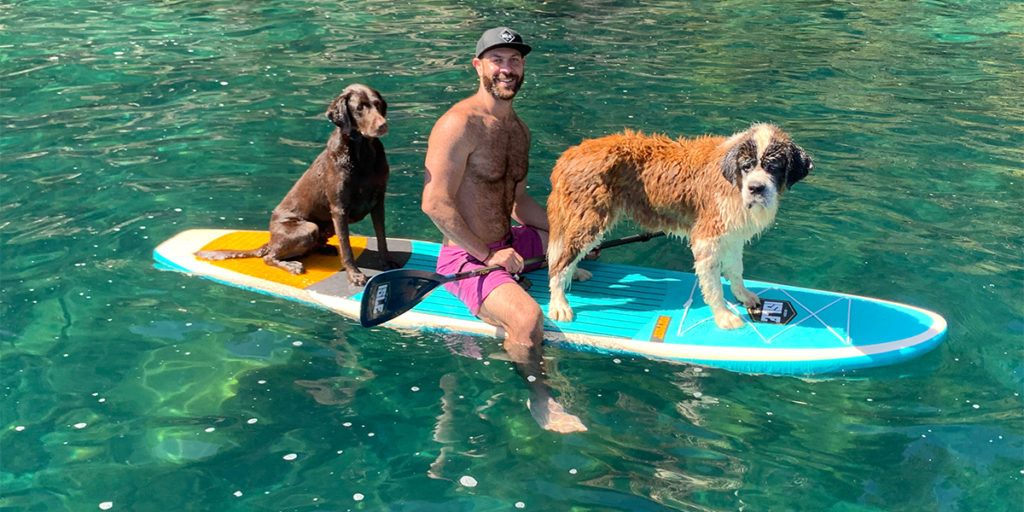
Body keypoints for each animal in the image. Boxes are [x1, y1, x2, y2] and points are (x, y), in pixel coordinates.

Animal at [195, 83, 395, 284]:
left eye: (378, 105)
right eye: (359, 108)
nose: (383, 125)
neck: (364, 155)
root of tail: (271, 240)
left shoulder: (378, 202)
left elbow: (382, 238)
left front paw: (387, 263)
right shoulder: (339, 209)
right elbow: (346, 248)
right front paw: (354, 275)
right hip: (309, 227)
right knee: (269, 257)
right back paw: (292, 265)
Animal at [548, 125, 811, 329]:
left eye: (773, 167)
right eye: (746, 166)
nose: (756, 188)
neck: (732, 179)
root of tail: (570, 153)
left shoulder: (733, 234)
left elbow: (736, 269)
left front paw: (743, 295)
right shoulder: (708, 236)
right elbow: (713, 283)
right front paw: (723, 316)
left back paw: (575, 273)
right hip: (590, 220)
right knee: (559, 263)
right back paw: (559, 304)